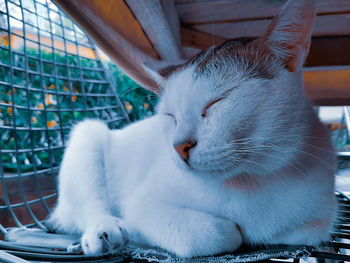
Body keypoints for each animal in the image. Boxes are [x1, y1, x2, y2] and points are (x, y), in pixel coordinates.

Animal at [46, 0, 336, 258]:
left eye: (216, 102)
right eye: (171, 116)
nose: (179, 146)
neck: (249, 182)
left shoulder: (317, 225)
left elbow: (294, 232)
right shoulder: (142, 205)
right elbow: (224, 233)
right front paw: (234, 230)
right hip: (88, 134)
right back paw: (105, 231)